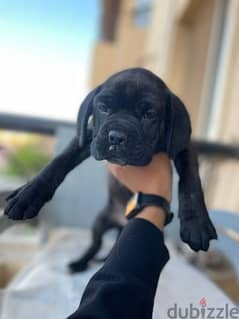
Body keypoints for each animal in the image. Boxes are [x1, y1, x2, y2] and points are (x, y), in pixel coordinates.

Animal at [3, 67, 218, 272]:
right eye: (103, 108)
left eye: (149, 114)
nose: (116, 137)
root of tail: (120, 223)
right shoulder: (90, 138)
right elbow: (59, 162)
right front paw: (29, 194)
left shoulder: (184, 148)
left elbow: (191, 180)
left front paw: (196, 222)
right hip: (99, 223)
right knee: (95, 245)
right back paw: (80, 263)